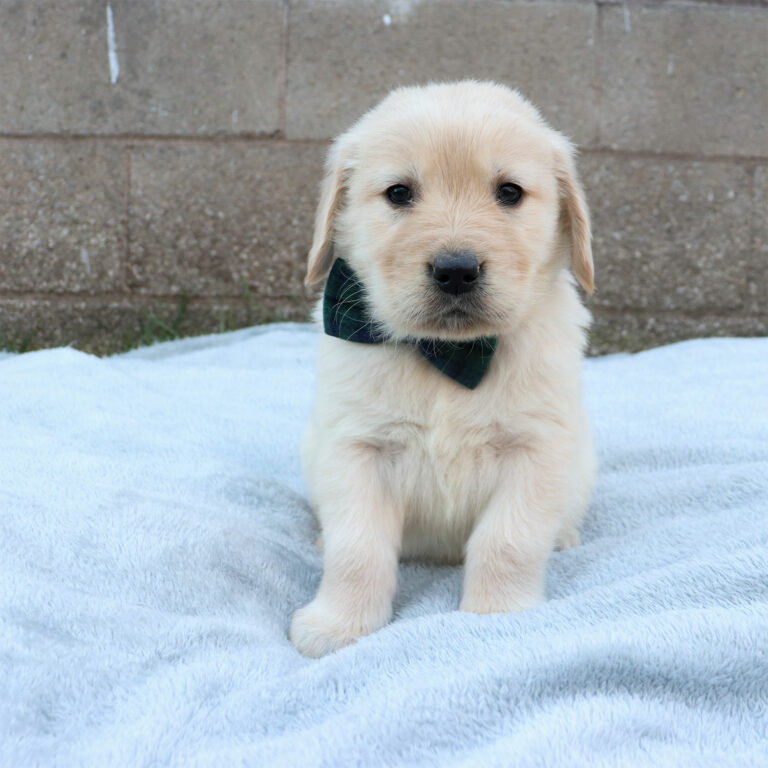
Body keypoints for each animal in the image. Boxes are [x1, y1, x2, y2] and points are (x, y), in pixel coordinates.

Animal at [292, 84, 596, 660]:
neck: (449, 355)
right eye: (399, 193)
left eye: (509, 192)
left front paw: (497, 617)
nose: (456, 270)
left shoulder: (536, 449)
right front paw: (339, 624)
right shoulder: (354, 449)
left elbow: (508, 541)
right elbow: (356, 548)